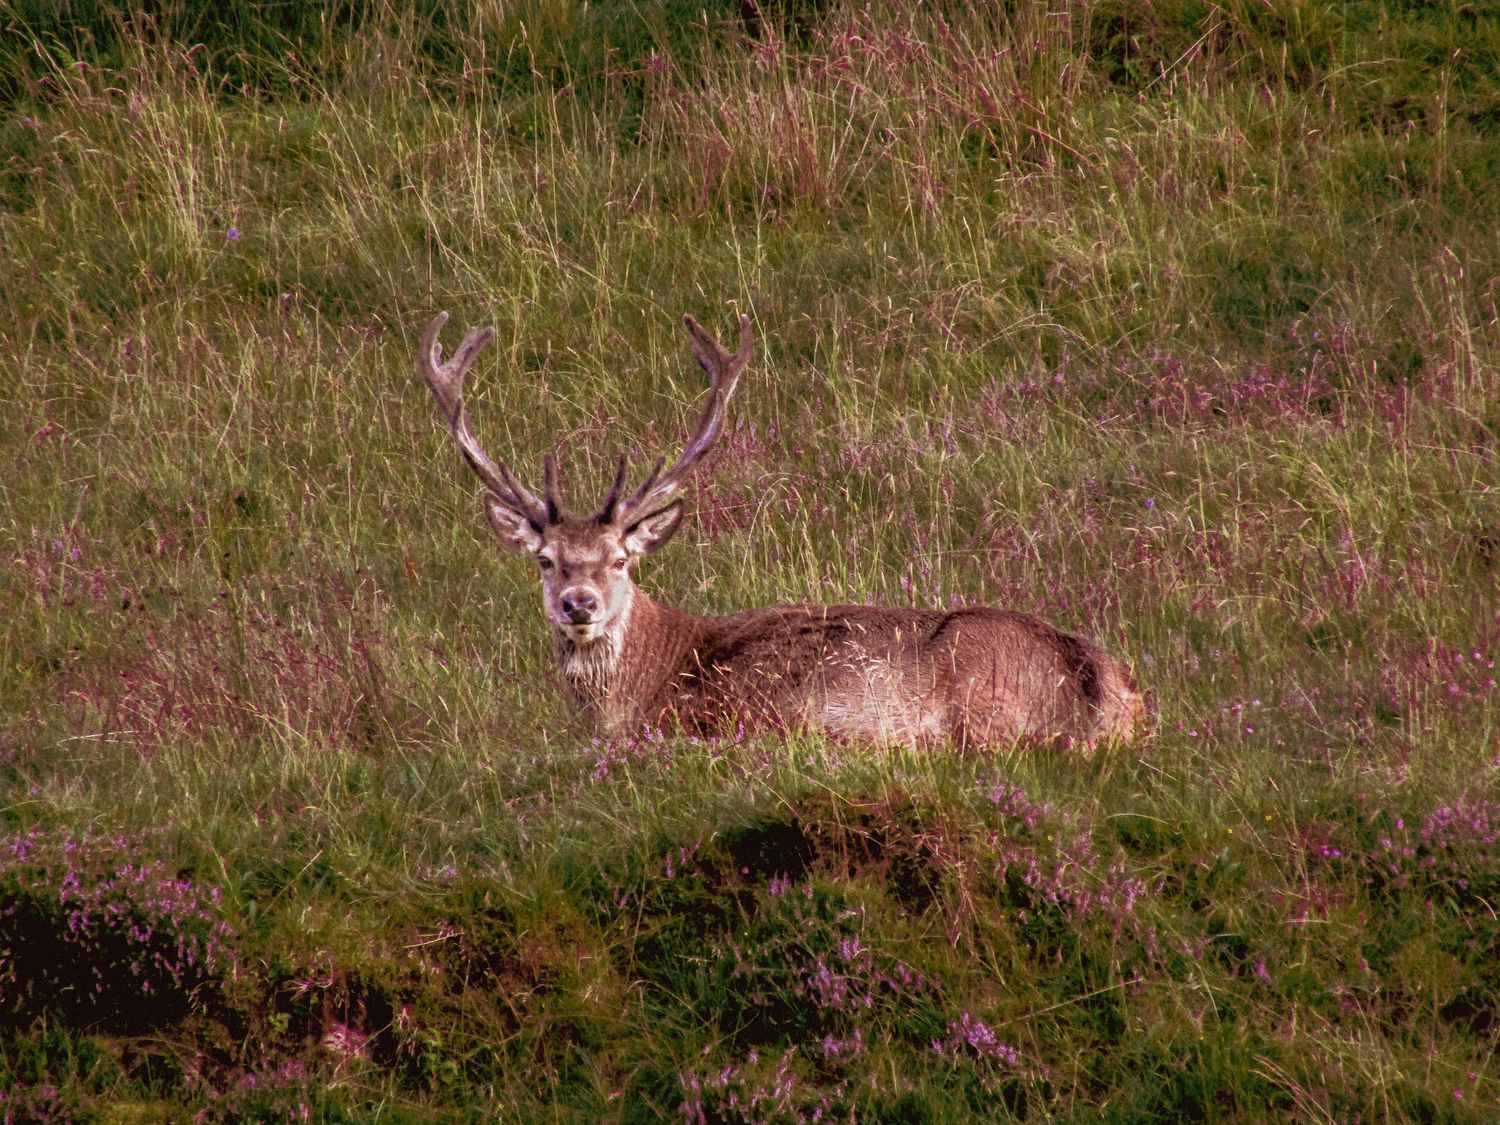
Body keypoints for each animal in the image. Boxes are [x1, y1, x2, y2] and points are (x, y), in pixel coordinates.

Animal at [417, 311, 1143, 748]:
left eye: (621, 558)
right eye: (545, 559)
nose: (580, 602)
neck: (648, 686)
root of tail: (1100, 688)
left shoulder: (729, 716)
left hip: (977, 690)